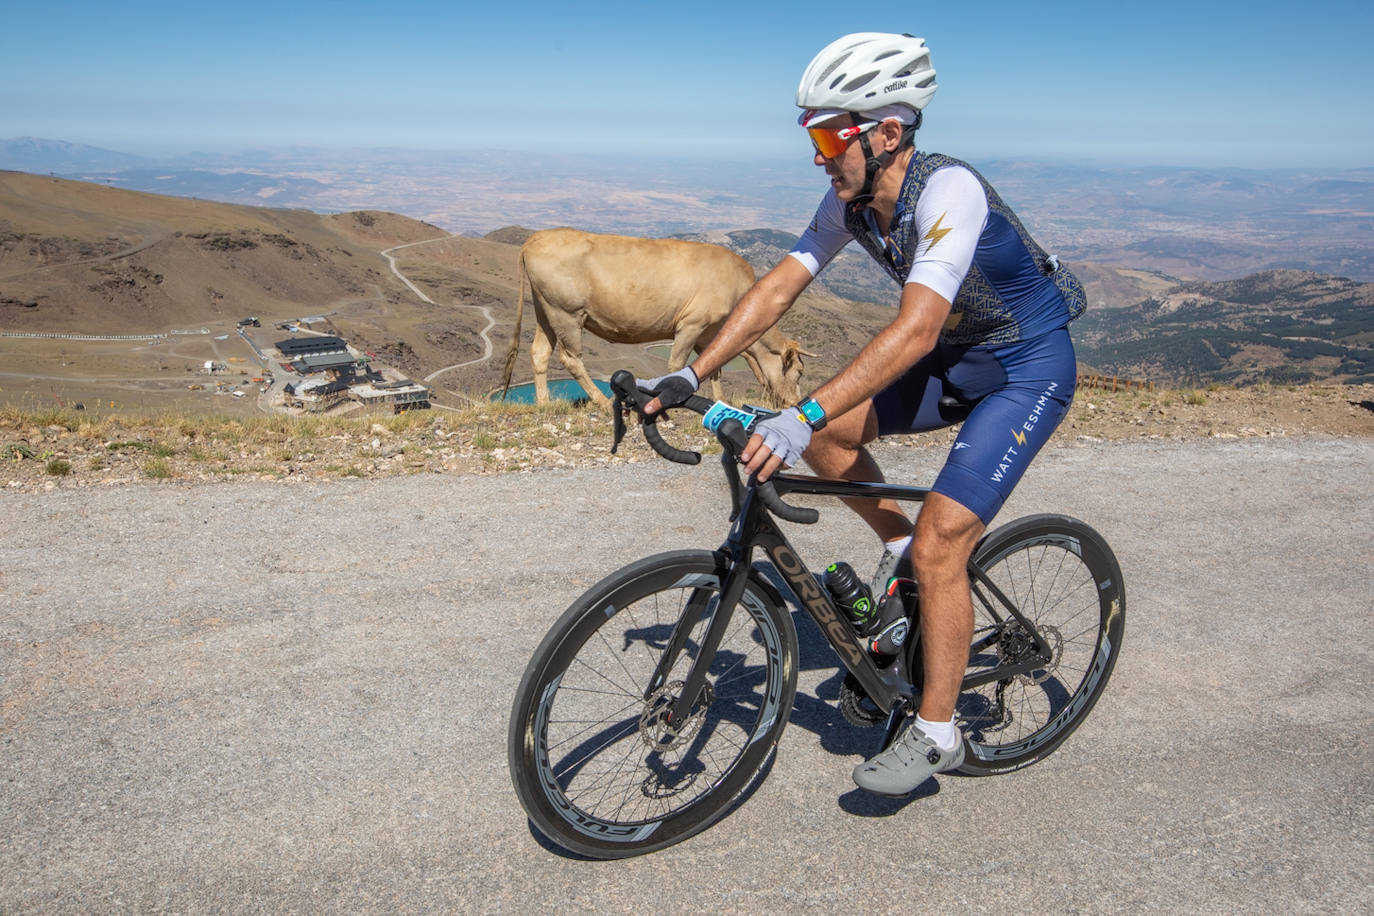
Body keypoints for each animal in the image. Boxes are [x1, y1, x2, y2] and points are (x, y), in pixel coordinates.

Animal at [502, 227, 802, 406]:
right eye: (799, 372)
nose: (796, 404)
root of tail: (537, 237)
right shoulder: (692, 324)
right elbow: (678, 364)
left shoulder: (709, 331)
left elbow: (715, 367)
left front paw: (722, 401)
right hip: (566, 313)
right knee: (570, 358)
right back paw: (602, 401)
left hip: (545, 310)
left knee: (540, 352)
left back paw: (543, 403)